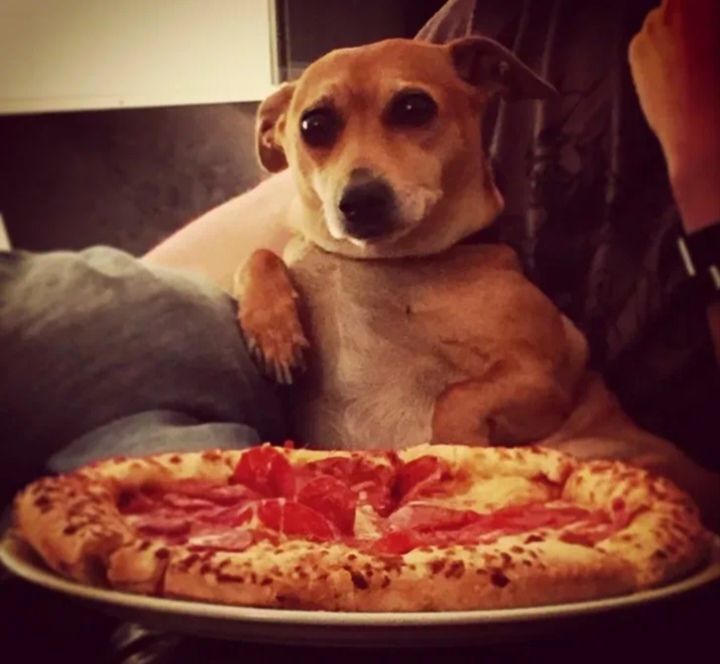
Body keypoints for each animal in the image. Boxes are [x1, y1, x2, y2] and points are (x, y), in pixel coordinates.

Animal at [234, 37, 719, 526]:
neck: (389, 263)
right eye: (313, 125)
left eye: (413, 107)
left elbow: (457, 397)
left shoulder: (542, 378)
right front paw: (274, 330)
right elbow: (257, 257)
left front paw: (456, 453)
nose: (361, 200)